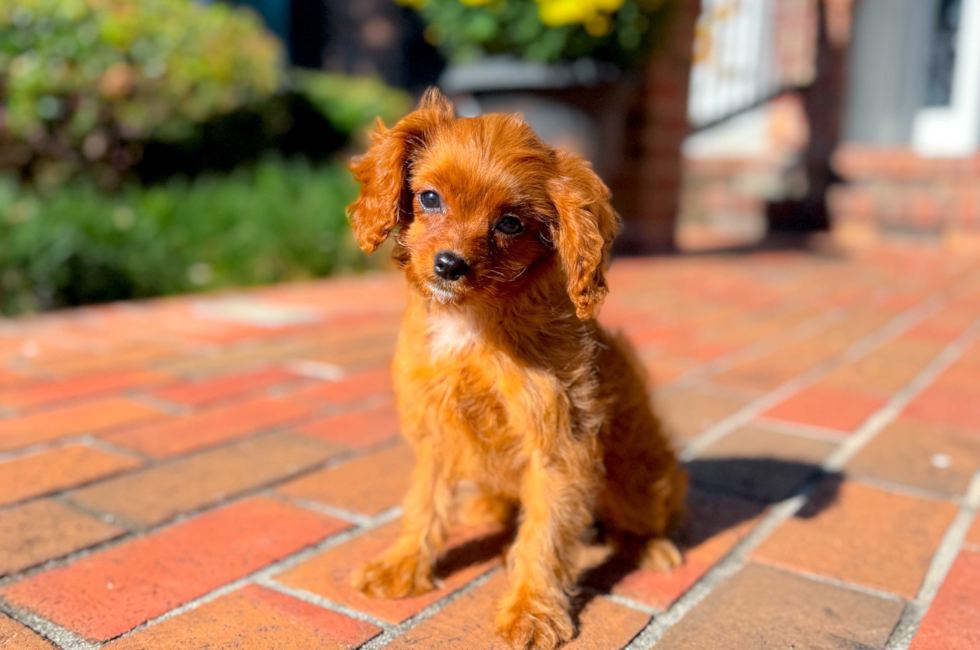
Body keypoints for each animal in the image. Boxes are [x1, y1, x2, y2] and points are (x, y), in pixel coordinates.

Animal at [348, 88, 684, 644]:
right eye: (429, 198)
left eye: (510, 223)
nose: (449, 264)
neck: (472, 324)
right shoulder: (435, 432)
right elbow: (423, 503)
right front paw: (404, 564)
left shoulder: (559, 444)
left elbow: (544, 535)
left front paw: (532, 609)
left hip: (637, 479)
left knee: (640, 516)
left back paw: (649, 547)